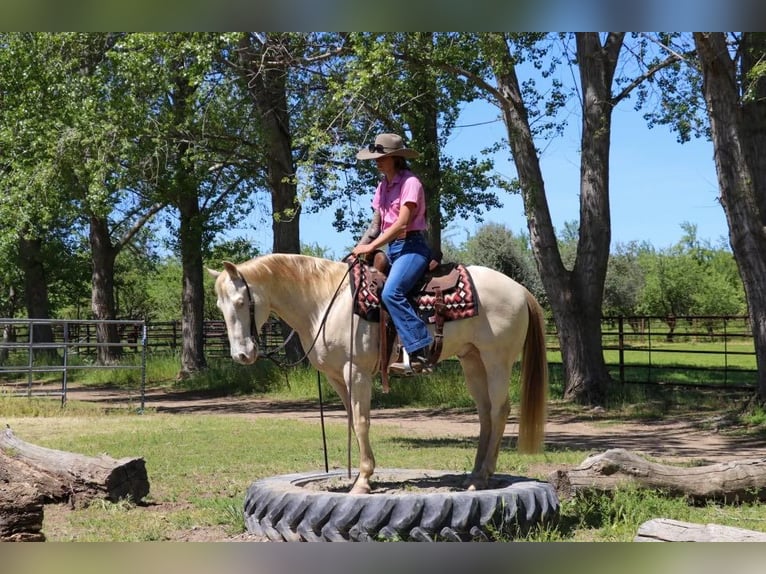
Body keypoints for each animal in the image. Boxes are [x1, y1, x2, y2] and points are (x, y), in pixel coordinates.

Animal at [207, 254, 548, 498]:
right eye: (219, 305)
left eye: (241, 302)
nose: (241, 355)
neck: (325, 301)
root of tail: (520, 290)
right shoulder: (336, 377)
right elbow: (351, 420)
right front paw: (356, 476)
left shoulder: (356, 372)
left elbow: (361, 421)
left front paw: (362, 481)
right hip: (472, 361)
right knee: (485, 413)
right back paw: (476, 475)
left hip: (496, 360)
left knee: (499, 410)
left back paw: (484, 476)